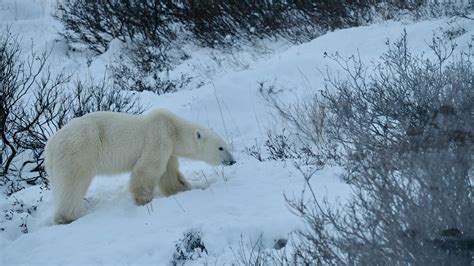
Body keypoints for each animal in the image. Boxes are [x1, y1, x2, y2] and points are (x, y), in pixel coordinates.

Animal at [45, 109, 234, 223]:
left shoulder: (169, 149)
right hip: (78, 151)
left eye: (226, 146)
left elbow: (169, 175)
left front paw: (183, 188)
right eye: (221, 148)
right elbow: (148, 168)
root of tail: (49, 145)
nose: (233, 160)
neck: (173, 128)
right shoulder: (158, 137)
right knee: (73, 183)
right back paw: (66, 216)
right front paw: (144, 200)